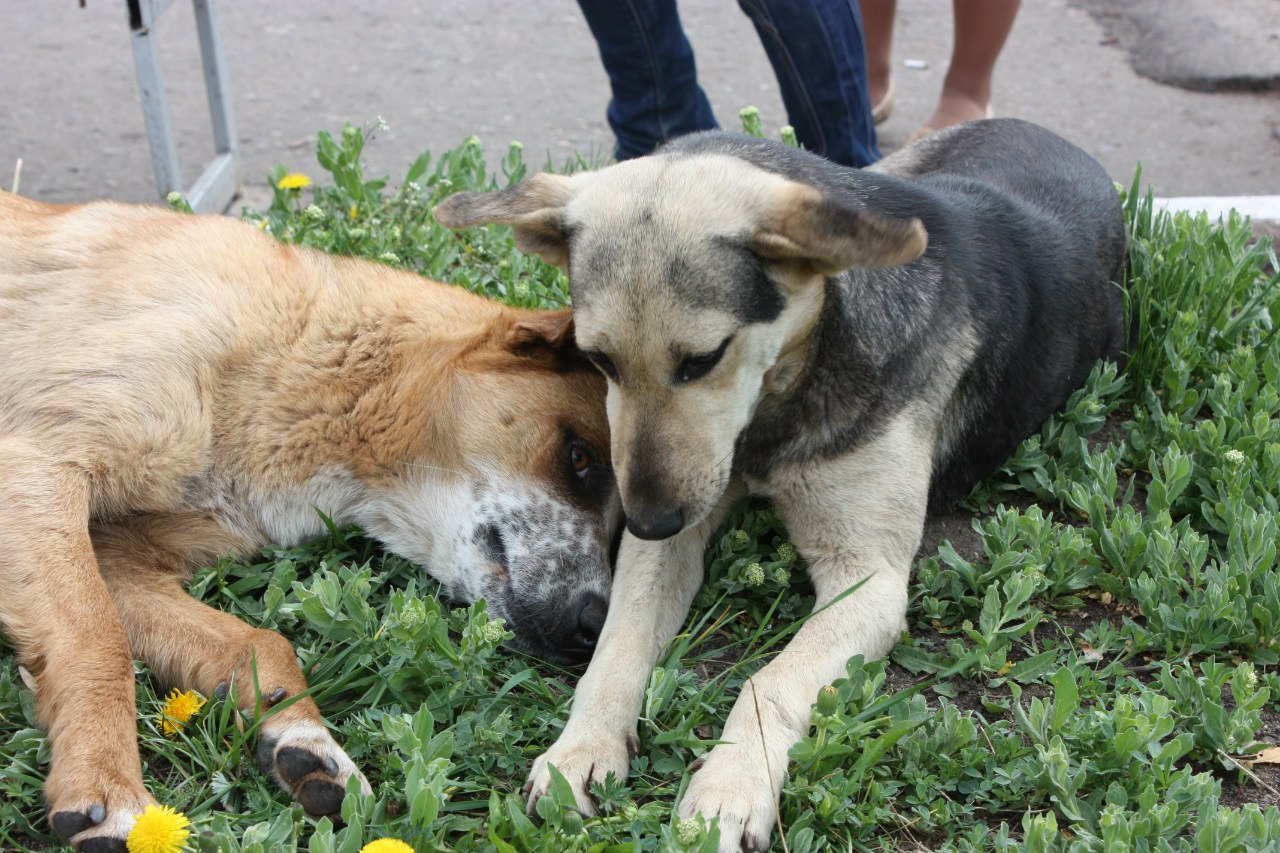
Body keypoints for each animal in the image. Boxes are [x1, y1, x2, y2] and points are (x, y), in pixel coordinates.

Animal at [0, 194, 619, 850]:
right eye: (579, 457)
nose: (594, 625)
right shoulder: (37, 471)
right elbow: (98, 638)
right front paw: (105, 783)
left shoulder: (118, 558)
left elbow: (258, 641)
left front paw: (302, 738)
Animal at [437, 117, 1121, 850]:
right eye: (598, 359)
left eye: (703, 358)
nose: (645, 521)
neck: (778, 402)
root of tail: (1042, 131)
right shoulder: (675, 532)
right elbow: (619, 644)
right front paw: (581, 748)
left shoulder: (869, 577)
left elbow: (770, 680)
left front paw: (729, 787)